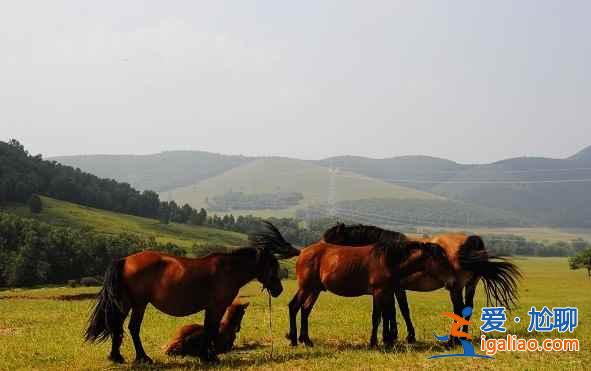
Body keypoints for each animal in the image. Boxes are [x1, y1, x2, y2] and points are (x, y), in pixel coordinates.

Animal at [84, 222, 296, 364]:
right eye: (272, 265)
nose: (278, 289)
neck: (227, 270)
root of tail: (125, 260)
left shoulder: (211, 307)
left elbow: (209, 328)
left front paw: (206, 355)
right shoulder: (217, 306)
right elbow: (211, 329)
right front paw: (210, 356)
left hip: (127, 304)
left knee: (117, 327)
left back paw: (117, 356)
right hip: (139, 304)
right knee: (132, 328)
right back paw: (143, 357)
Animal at [286, 224, 448, 348]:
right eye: (439, 258)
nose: (450, 275)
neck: (387, 259)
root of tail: (303, 252)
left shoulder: (388, 292)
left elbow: (388, 313)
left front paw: (388, 340)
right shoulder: (380, 292)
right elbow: (379, 316)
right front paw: (376, 342)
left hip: (314, 290)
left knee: (305, 309)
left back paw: (306, 340)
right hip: (306, 288)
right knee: (294, 306)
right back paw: (294, 340)